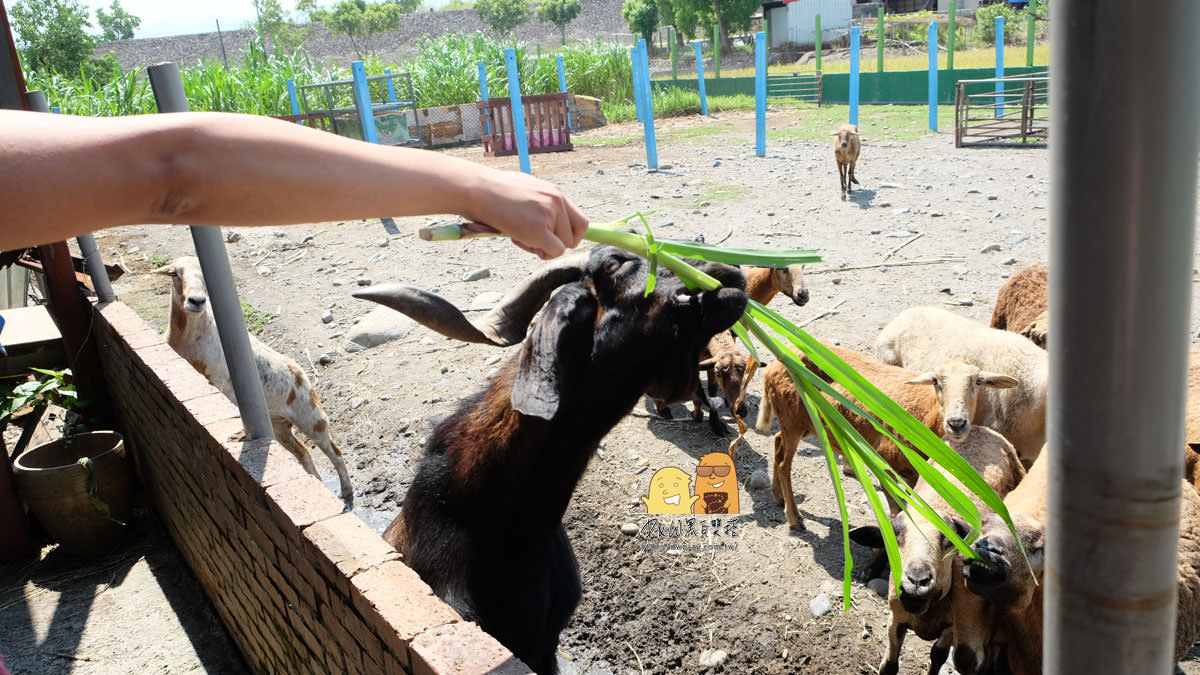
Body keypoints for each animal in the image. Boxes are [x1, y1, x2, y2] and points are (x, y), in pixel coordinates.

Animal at [154, 254, 350, 502]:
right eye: (174, 274)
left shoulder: (219, 380)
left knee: (335, 452)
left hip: (312, 418)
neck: (191, 340)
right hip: (279, 425)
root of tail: (300, 373)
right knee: (304, 453)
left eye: (204, 276)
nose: (197, 301)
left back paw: (346, 492)